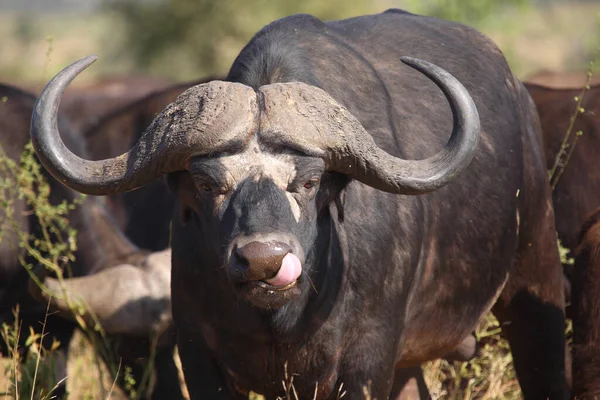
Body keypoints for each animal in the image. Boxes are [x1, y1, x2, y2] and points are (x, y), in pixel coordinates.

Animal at [31, 9, 568, 400]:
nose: (263, 261)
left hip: (537, 283)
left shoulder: (366, 362)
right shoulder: (198, 355)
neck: (283, 317)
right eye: (206, 183)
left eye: (310, 181)